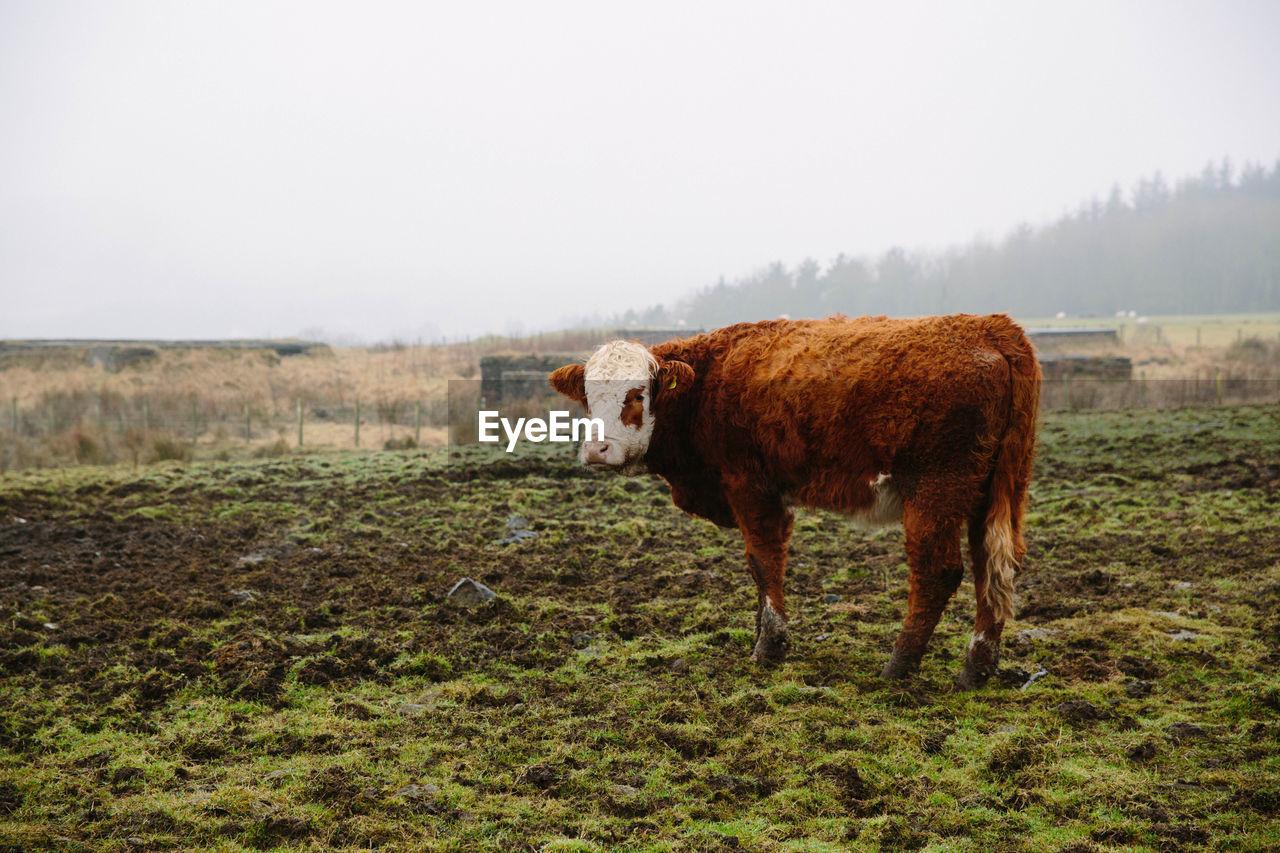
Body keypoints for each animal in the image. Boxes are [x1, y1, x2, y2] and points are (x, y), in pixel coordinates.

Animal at [550, 312, 1039, 686]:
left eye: (636, 394)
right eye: (588, 398)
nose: (597, 450)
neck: (707, 385)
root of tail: (990, 327)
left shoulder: (750, 487)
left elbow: (764, 562)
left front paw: (769, 646)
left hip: (935, 492)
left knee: (938, 572)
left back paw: (899, 666)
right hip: (996, 493)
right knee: (995, 569)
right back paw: (976, 669)